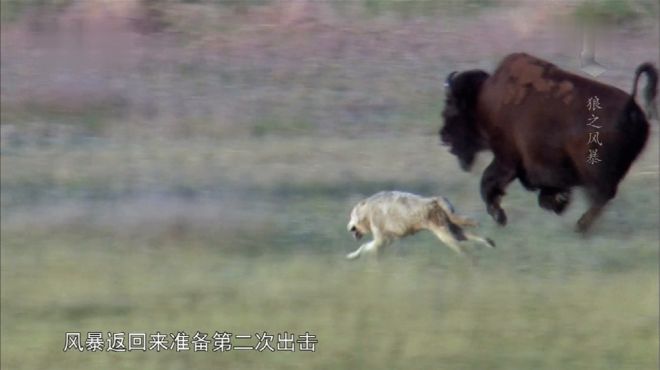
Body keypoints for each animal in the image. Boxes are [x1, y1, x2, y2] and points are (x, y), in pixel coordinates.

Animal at [440, 52, 656, 231]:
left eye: (451, 108)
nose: (443, 137)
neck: (481, 100)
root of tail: (630, 105)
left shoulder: (507, 158)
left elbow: (487, 182)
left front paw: (499, 216)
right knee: (601, 196)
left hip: (592, 168)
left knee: (601, 195)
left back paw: (580, 227)